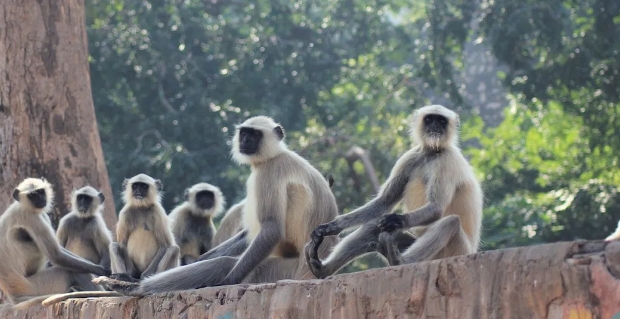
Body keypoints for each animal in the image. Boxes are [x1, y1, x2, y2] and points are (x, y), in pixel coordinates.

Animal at [0, 178, 113, 310]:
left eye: (40, 192)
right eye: (32, 195)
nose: (40, 199)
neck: (21, 205)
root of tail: (14, 297)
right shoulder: (30, 216)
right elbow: (56, 255)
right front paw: (102, 271)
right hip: (35, 287)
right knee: (72, 271)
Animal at [93, 116, 340, 296]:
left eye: (255, 134)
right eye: (244, 133)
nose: (245, 142)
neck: (274, 155)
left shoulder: (268, 173)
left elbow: (271, 229)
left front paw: (229, 281)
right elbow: (248, 235)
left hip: (281, 270)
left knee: (224, 263)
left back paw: (133, 288)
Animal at [306, 105, 484, 280]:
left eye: (441, 121)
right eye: (429, 119)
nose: (435, 127)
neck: (432, 153)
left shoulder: (447, 161)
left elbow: (436, 207)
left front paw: (397, 219)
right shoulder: (410, 157)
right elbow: (384, 202)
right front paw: (330, 227)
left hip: (457, 251)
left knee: (450, 222)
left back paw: (399, 260)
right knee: (373, 226)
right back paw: (323, 269)